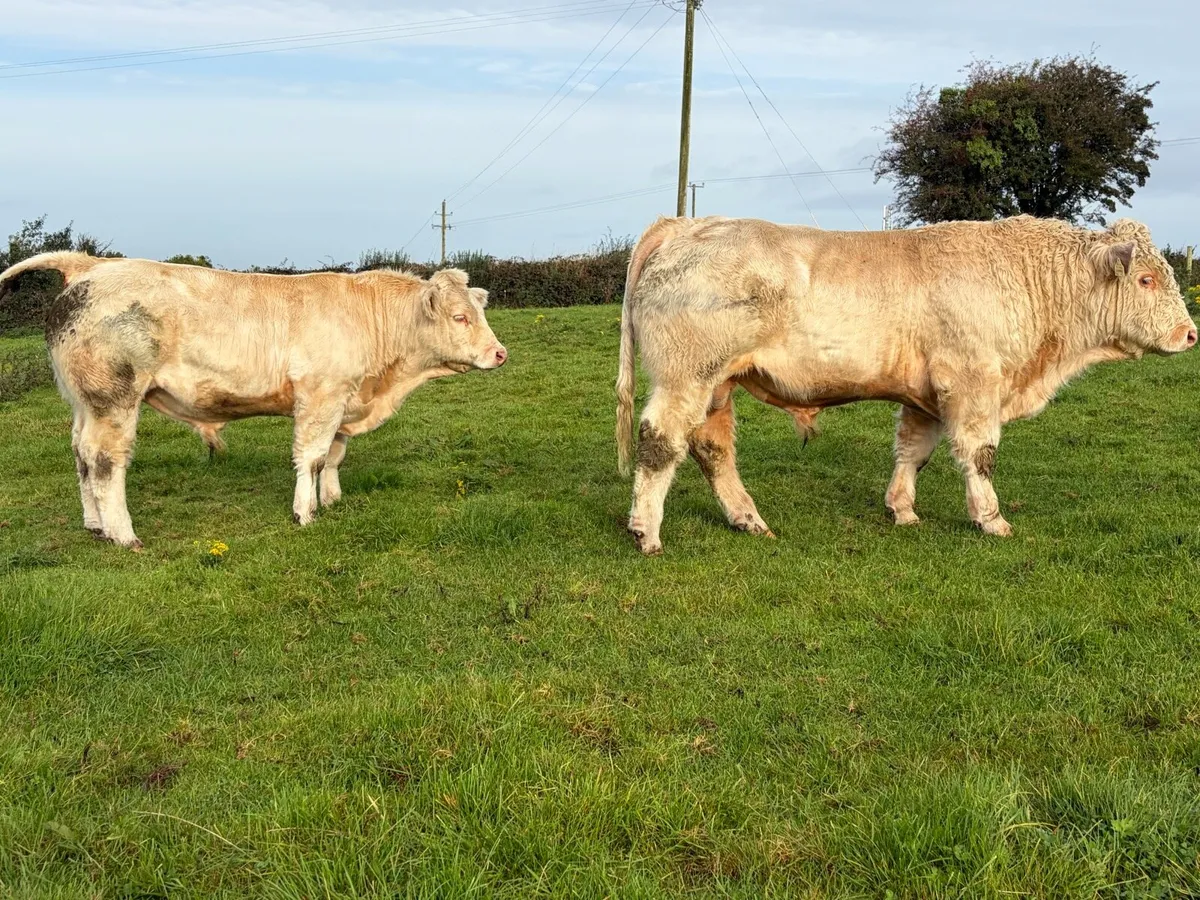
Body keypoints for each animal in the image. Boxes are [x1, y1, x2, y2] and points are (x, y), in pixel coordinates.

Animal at [0, 254, 507, 549]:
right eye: (460, 317)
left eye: (479, 312)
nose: (500, 353)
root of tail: (91, 266)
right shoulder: (321, 396)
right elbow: (312, 456)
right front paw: (306, 513)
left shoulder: (344, 399)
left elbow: (334, 456)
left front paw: (332, 500)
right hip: (114, 398)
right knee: (105, 461)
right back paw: (123, 535)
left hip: (82, 401)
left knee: (80, 455)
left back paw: (94, 524)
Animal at [615, 215, 1196, 555]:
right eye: (1146, 280)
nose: (1190, 334)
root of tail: (684, 223)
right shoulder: (972, 381)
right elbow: (979, 455)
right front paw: (992, 519)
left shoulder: (928, 395)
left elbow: (914, 451)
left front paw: (903, 510)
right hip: (686, 376)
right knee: (659, 442)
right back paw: (647, 530)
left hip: (718, 385)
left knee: (711, 449)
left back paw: (748, 519)